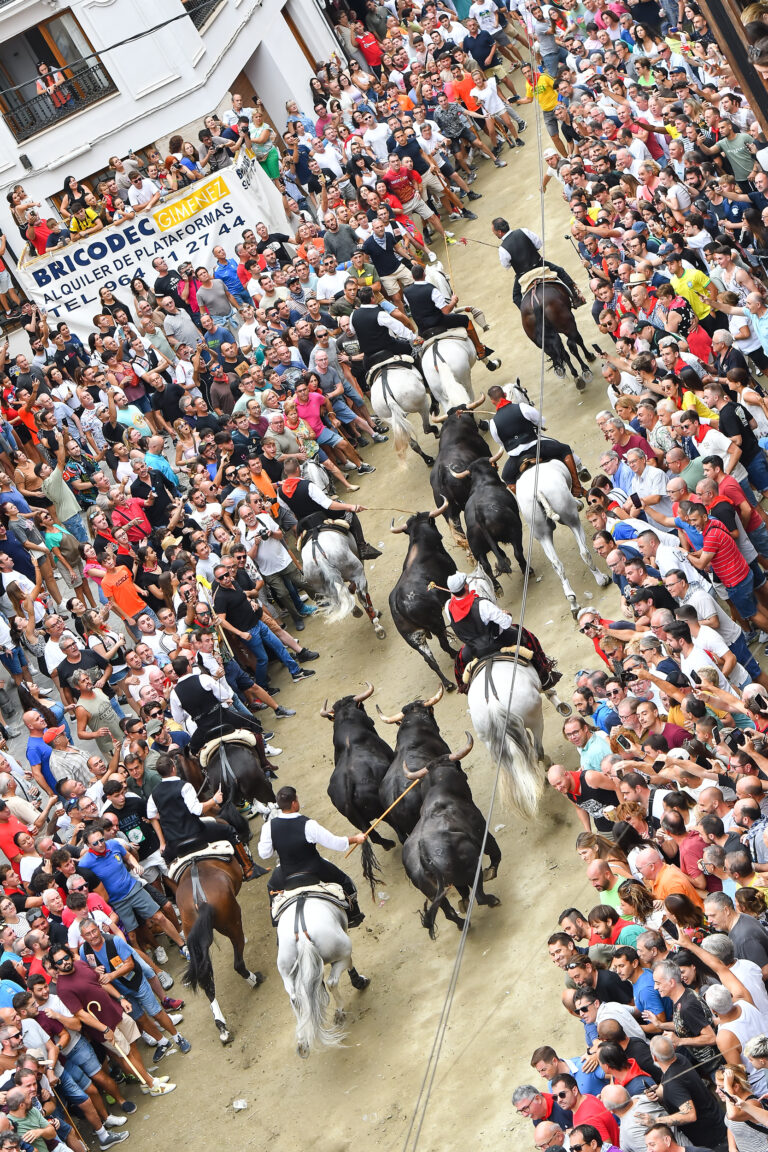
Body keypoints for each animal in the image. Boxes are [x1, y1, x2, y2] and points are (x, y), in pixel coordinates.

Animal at [276, 893, 373, 1055]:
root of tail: (302, 937)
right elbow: (349, 966)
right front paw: (359, 982)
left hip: (286, 974)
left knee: (295, 999)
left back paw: (302, 1041)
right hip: (343, 952)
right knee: (332, 981)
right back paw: (340, 1010)